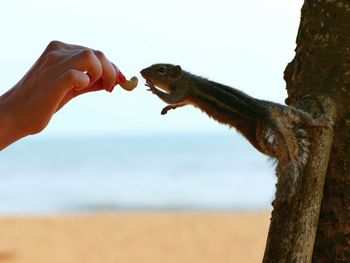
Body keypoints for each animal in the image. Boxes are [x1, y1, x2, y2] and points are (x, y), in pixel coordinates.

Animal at [140, 64, 330, 200]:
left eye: (161, 69)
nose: (142, 72)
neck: (184, 78)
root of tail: (266, 114)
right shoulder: (186, 96)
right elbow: (179, 103)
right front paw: (167, 108)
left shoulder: (183, 90)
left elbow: (172, 98)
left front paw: (154, 89)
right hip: (277, 115)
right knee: (302, 118)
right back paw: (318, 122)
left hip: (260, 133)